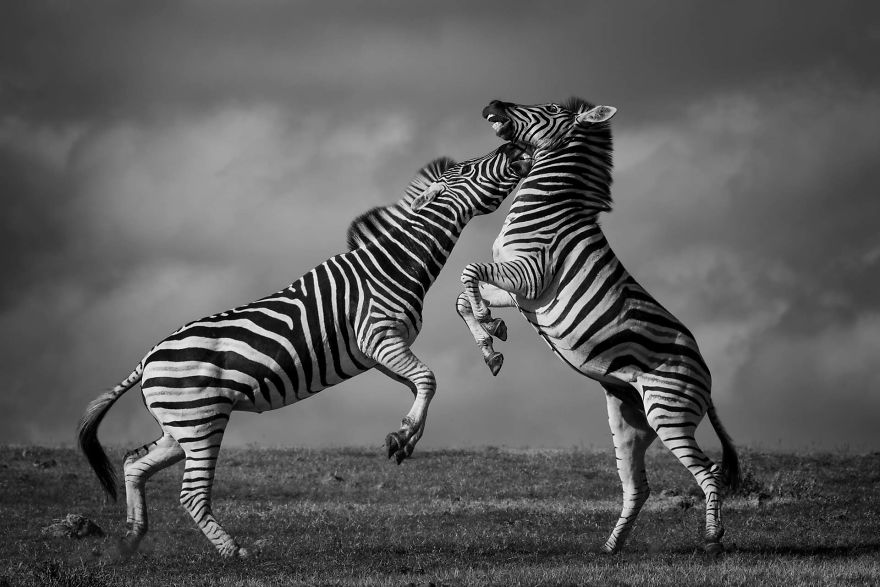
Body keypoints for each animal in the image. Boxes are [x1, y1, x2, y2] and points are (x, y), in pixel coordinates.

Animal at [77, 142, 533, 558]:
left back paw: (130, 539)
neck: (393, 265)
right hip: (200, 421)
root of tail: (146, 360)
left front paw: (413, 426)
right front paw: (404, 438)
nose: (515, 146)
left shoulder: (378, 351)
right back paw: (233, 551)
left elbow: (420, 384)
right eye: (470, 168)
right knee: (190, 493)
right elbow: (429, 378)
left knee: (134, 463)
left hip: (182, 426)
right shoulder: (378, 336)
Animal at [455, 98, 740, 555]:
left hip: (669, 412)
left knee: (708, 471)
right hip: (630, 420)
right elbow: (462, 296)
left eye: (550, 108)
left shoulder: (531, 274)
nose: (491, 105)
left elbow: (468, 272)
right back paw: (611, 547)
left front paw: (488, 324)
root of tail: (706, 375)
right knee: (638, 486)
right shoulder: (520, 292)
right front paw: (490, 342)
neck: (547, 209)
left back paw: (712, 540)